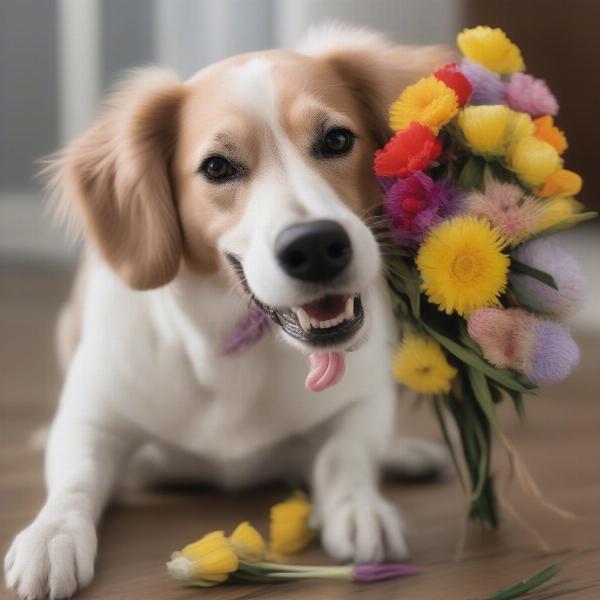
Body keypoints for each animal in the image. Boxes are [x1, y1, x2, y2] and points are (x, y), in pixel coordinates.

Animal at [3, 24, 450, 600]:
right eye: (217, 167)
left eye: (336, 140)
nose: (315, 246)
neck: (232, 348)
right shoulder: (92, 417)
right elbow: (75, 478)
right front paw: (51, 534)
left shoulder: (364, 394)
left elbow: (344, 453)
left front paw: (359, 507)